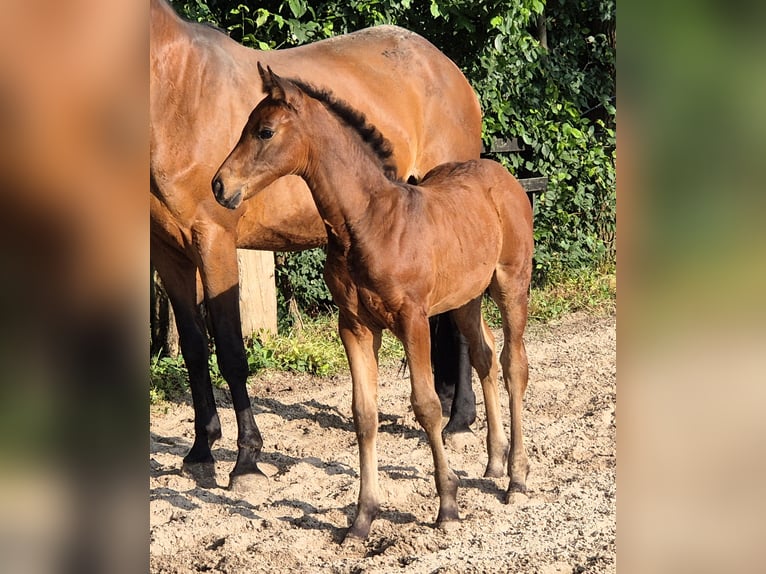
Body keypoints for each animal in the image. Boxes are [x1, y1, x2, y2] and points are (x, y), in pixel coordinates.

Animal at [150, 0, 484, 490]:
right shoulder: (169, 253)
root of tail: (446, 67)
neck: (178, 91)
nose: (221, 185)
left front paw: (246, 461)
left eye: (264, 132)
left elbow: (230, 351)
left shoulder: (214, 241)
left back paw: (459, 421)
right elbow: (194, 349)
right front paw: (200, 451)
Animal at [213, 65, 532, 544]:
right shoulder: (356, 326)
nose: (219, 185)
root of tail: (504, 175)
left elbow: (426, 406)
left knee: (514, 365)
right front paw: (361, 519)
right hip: (465, 299)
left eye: (264, 131)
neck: (367, 224)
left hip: (511, 284)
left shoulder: (413, 320)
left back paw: (515, 478)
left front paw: (448, 506)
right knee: (485, 355)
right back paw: (494, 463)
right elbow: (364, 415)